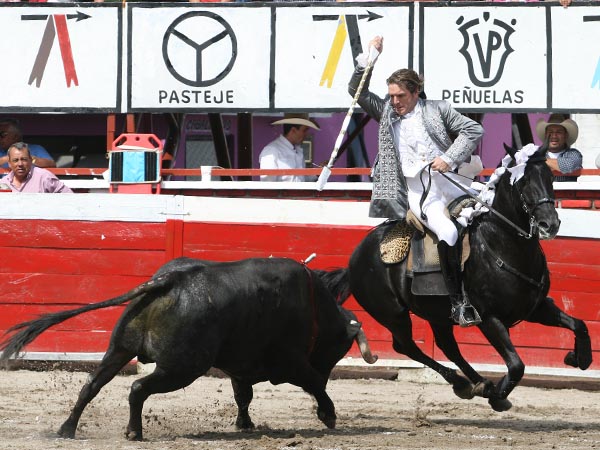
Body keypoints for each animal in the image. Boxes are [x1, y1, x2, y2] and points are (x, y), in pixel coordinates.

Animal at [0, 256, 376, 440]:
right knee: (138, 387)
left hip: (119, 350)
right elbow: (313, 382)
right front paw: (328, 414)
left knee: (91, 385)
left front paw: (244, 424)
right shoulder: (290, 362)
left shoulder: (240, 366)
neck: (315, 306)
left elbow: (243, 395)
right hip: (183, 367)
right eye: (338, 349)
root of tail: (167, 280)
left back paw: (67, 430)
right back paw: (134, 432)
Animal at [344, 145, 592, 412]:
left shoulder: (536, 308)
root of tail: (357, 254)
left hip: (435, 313)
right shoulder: (489, 318)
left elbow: (580, 324)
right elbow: (517, 365)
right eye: (523, 181)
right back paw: (466, 384)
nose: (550, 224)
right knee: (406, 345)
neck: (504, 245)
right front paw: (498, 397)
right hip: (393, 314)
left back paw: (478, 383)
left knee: (446, 346)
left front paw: (579, 358)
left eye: (549, 177)